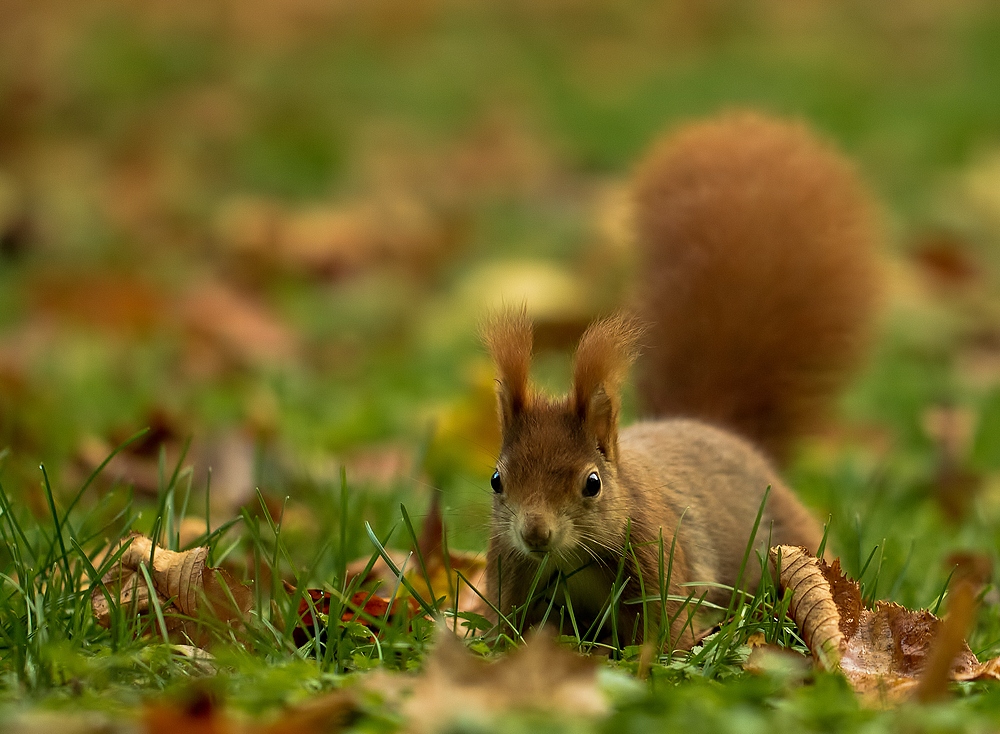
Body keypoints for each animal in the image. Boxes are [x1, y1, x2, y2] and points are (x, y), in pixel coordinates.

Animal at [480, 110, 880, 648]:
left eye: (592, 483)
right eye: (497, 480)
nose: (535, 534)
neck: (569, 558)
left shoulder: (661, 557)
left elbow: (666, 627)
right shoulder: (510, 568)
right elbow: (508, 623)